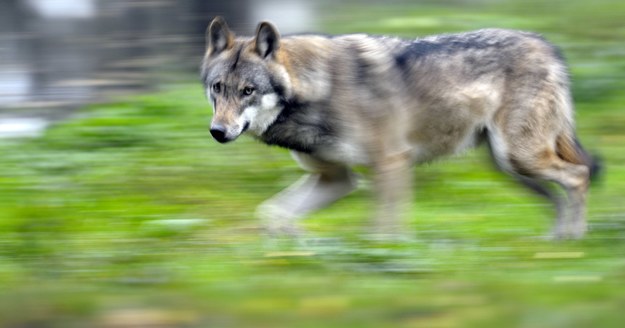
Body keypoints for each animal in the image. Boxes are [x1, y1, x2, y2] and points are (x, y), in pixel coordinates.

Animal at [200, 17, 600, 238]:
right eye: (218, 88)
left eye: (248, 91)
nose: (218, 132)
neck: (317, 88)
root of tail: (548, 46)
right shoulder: (337, 179)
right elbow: (273, 213)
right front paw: (293, 245)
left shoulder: (390, 162)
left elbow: (384, 230)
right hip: (510, 167)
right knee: (559, 195)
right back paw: (553, 243)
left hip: (519, 158)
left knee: (578, 176)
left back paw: (574, 242)